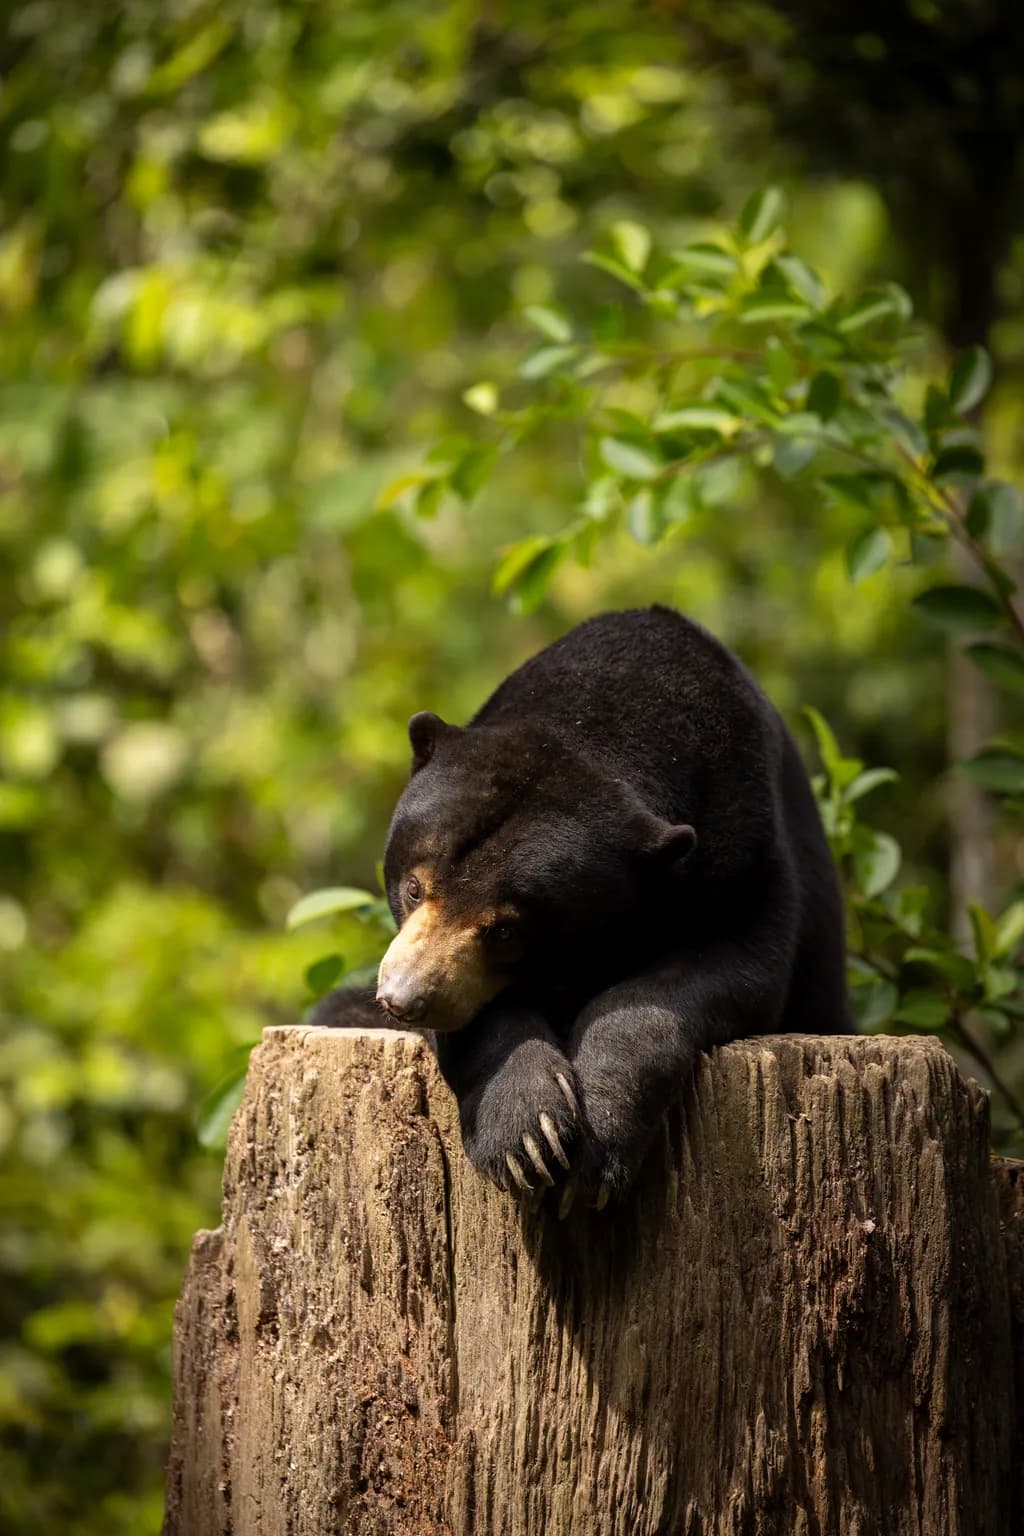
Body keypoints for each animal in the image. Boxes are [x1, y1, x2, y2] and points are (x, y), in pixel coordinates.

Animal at [313, 605, 848, 1212]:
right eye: (413, 888)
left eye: (506, 931)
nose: (403, 998)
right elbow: (479, 1016)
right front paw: (527, 1135)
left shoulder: (746, 842)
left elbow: (729, 967)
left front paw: (596, 1142)